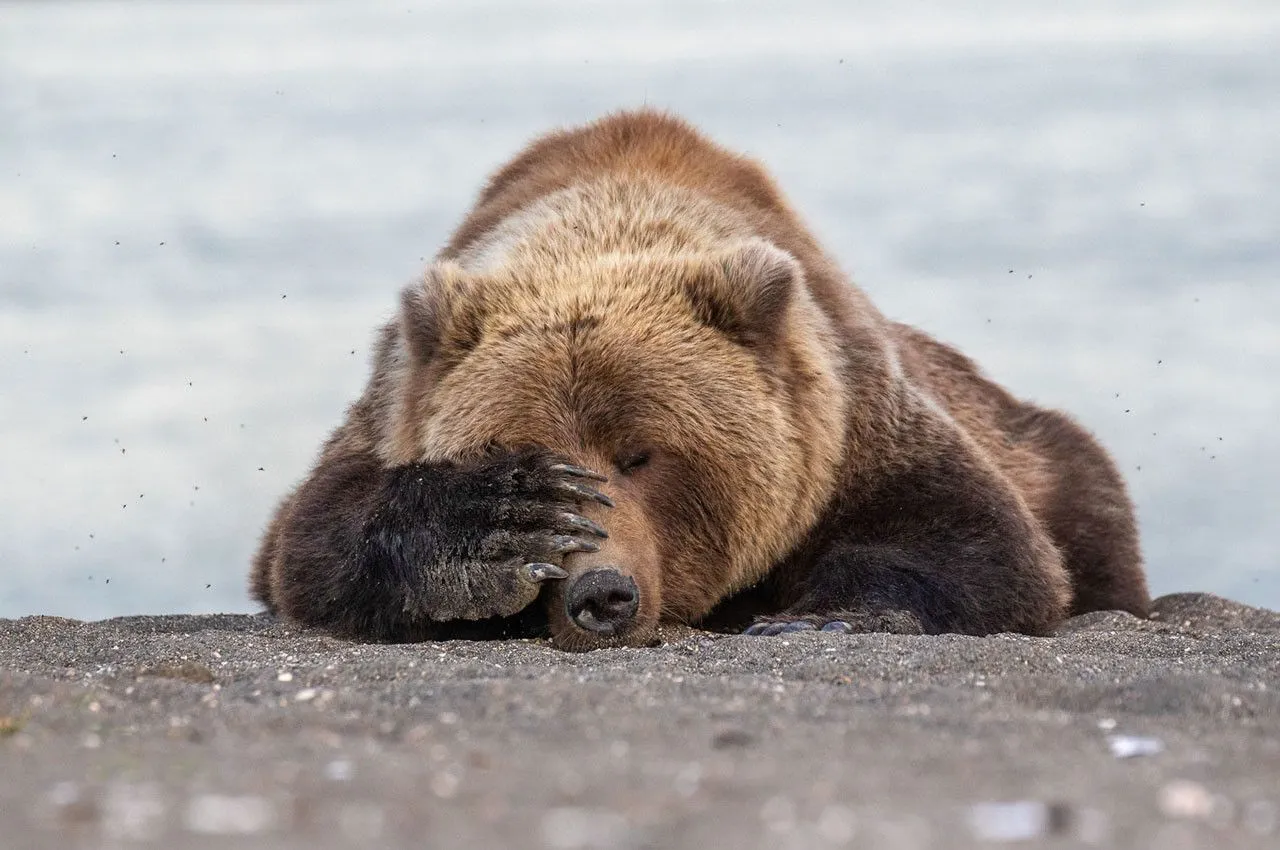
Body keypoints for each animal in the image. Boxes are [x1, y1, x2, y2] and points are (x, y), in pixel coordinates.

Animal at [249, 108, 1152, 650]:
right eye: (525, 449)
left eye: (643, 454)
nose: (600, 595)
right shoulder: (393, 404)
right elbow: (312, 538)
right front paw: (497, 527)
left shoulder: (850, 420)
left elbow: (978, 541)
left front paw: (821, 617)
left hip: (1042, 449)